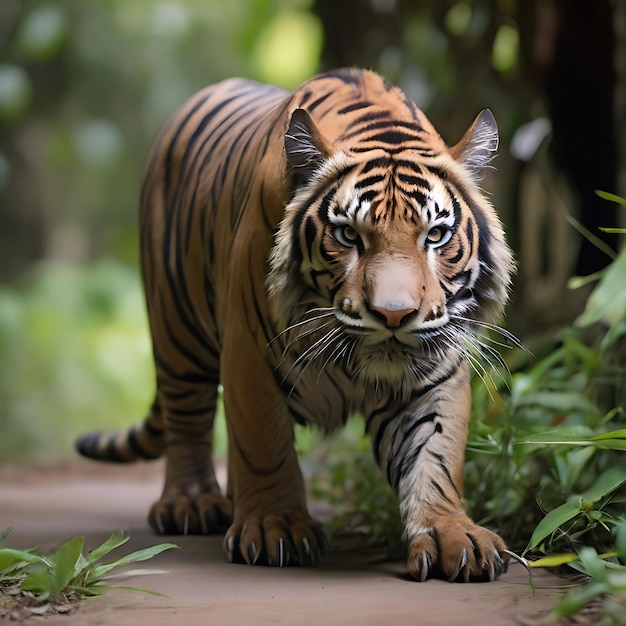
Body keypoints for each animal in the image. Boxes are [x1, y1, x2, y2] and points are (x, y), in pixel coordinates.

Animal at [77, 68, 512, 580]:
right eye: (347, 235)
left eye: (436, 236)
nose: (393, 314)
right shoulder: (249, 353)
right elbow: (264, 442)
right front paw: (275, 527)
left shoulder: (435, 373)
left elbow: (435, 454)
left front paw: (452, 534)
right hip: (176, 330)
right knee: (188, 418)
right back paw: (191, 504)